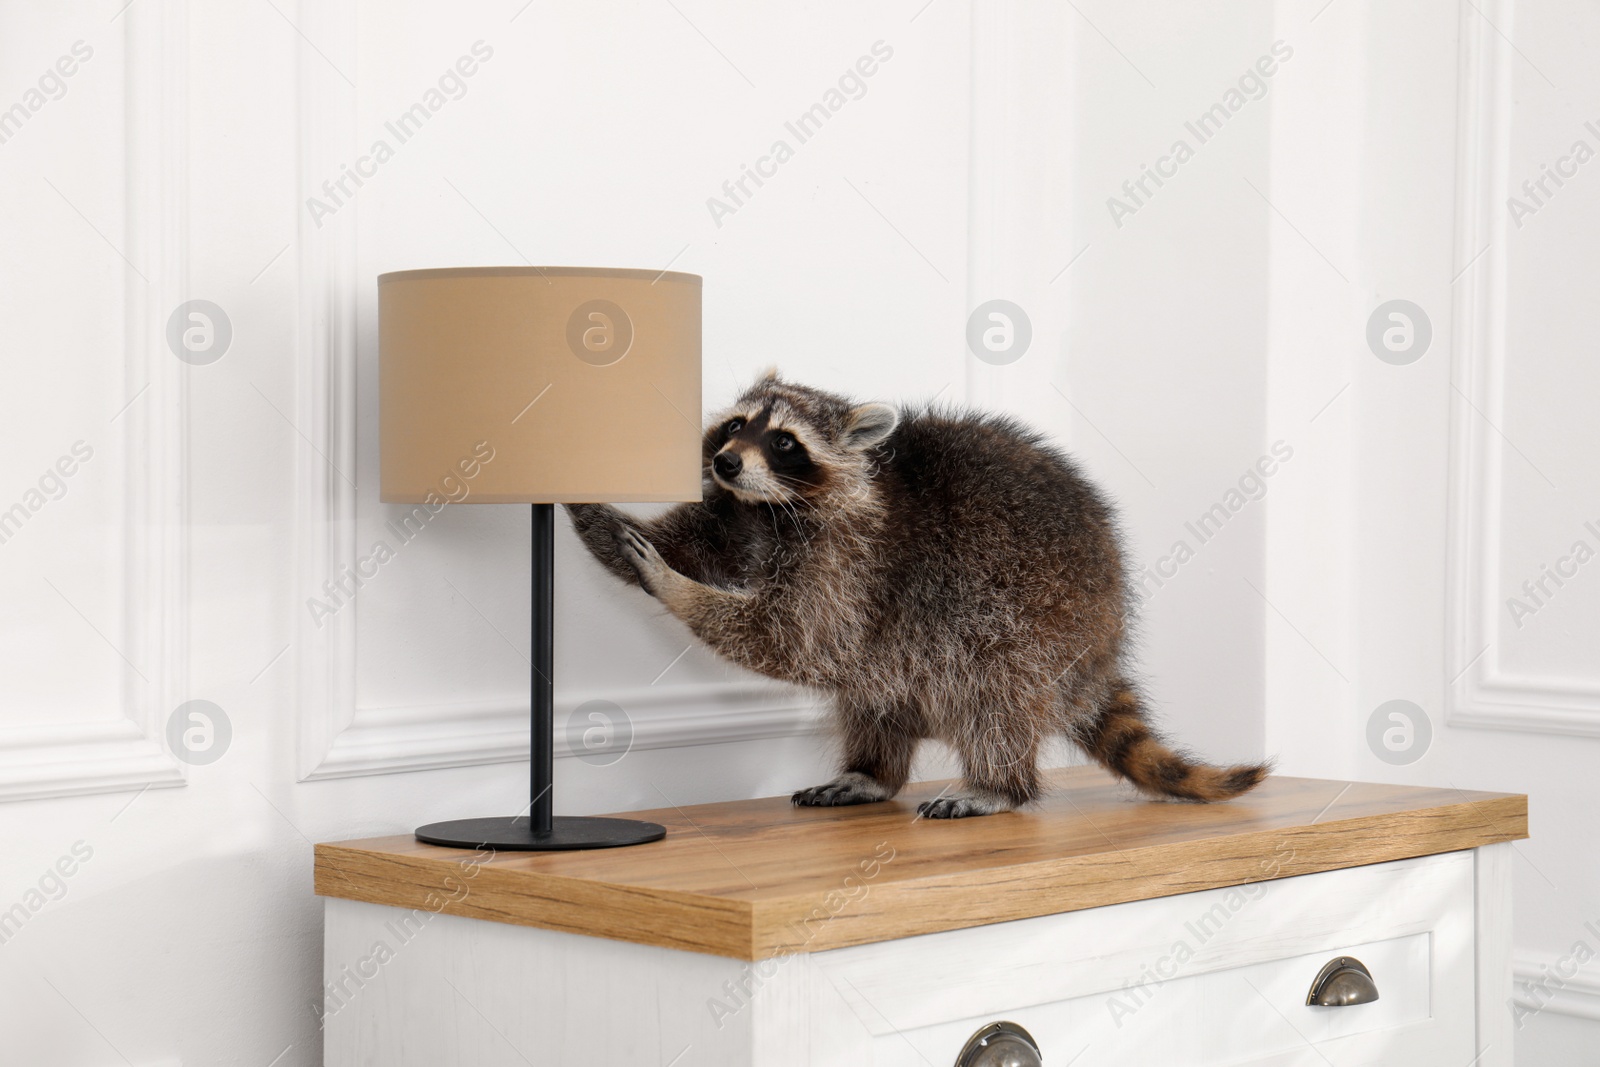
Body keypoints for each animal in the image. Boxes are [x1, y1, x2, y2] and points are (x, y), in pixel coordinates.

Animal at [569, 369, 1267, 819]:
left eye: (785, 441)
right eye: (736, 426)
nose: (726, 463)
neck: (771, 508)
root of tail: (1105, 642)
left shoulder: (852, 561)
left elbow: (795, 641)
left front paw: (677, 589)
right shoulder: (740, 520)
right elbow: (682, 546)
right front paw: (590, 511)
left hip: (1039, 621)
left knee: (997, 689)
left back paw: (998, 783)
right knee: (875, 690)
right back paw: (873, 771)